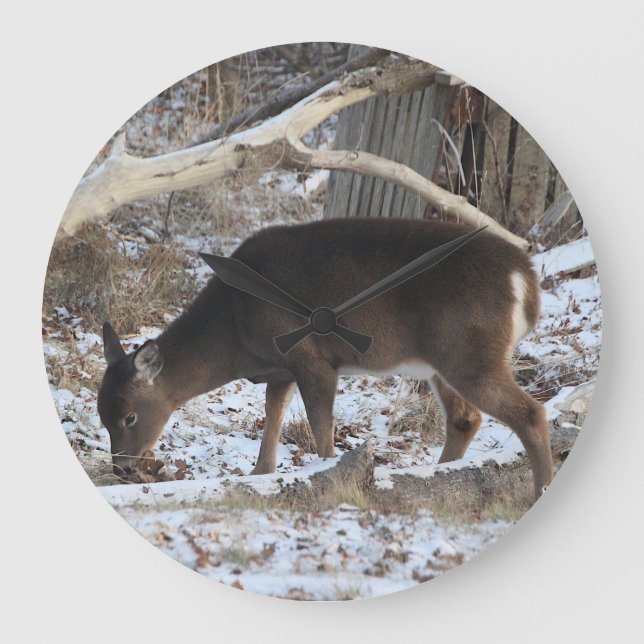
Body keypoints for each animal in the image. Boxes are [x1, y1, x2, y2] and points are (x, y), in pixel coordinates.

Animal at [97, 218, 553, 499]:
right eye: (103, 418)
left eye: (129, 417)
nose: (121, 468)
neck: (235, 328)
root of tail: (527, 281)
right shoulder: (280, 368)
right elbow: (272, 421)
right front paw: (259, 475)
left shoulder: (312, 359)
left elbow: (321, 431)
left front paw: (329, 479)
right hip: (444, 362)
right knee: (464, 419)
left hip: (468, 351)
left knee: (530, 413)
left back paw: (539, 490)